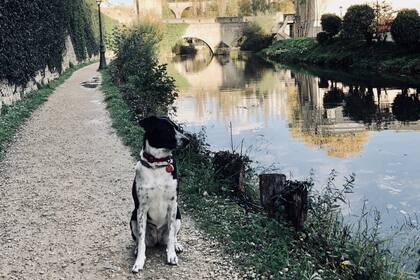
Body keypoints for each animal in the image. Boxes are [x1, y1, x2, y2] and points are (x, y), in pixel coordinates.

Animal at [130, 115, 189, 272]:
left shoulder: (173, 205)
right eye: (167, 129)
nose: (187, 140)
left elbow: (171, 236)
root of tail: (156, 239)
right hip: (133, 217)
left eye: (177, 128)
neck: (157, 164)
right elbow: (141, 240)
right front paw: (139, 261)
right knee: (140, 240)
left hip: (178, 215)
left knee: (172, 236)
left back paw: (176, 245)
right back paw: (137, 249)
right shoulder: (141, 208)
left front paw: (172, 255)